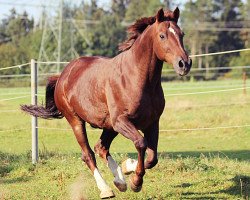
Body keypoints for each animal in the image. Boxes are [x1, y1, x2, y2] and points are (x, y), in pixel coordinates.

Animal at [22, 7, 192, 198]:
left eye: (182, 34)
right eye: (162, 35)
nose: (184, 64)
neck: (136, 78)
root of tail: (63, 75)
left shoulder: (152, 123)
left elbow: (152, 157)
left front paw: (128, 169)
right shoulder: (121, 121)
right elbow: (141, 144)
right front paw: (135, 181)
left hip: (108, 126)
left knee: (101, 148)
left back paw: (120, 181)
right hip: (77, 121)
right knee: (88, 154)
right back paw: (106, 189)